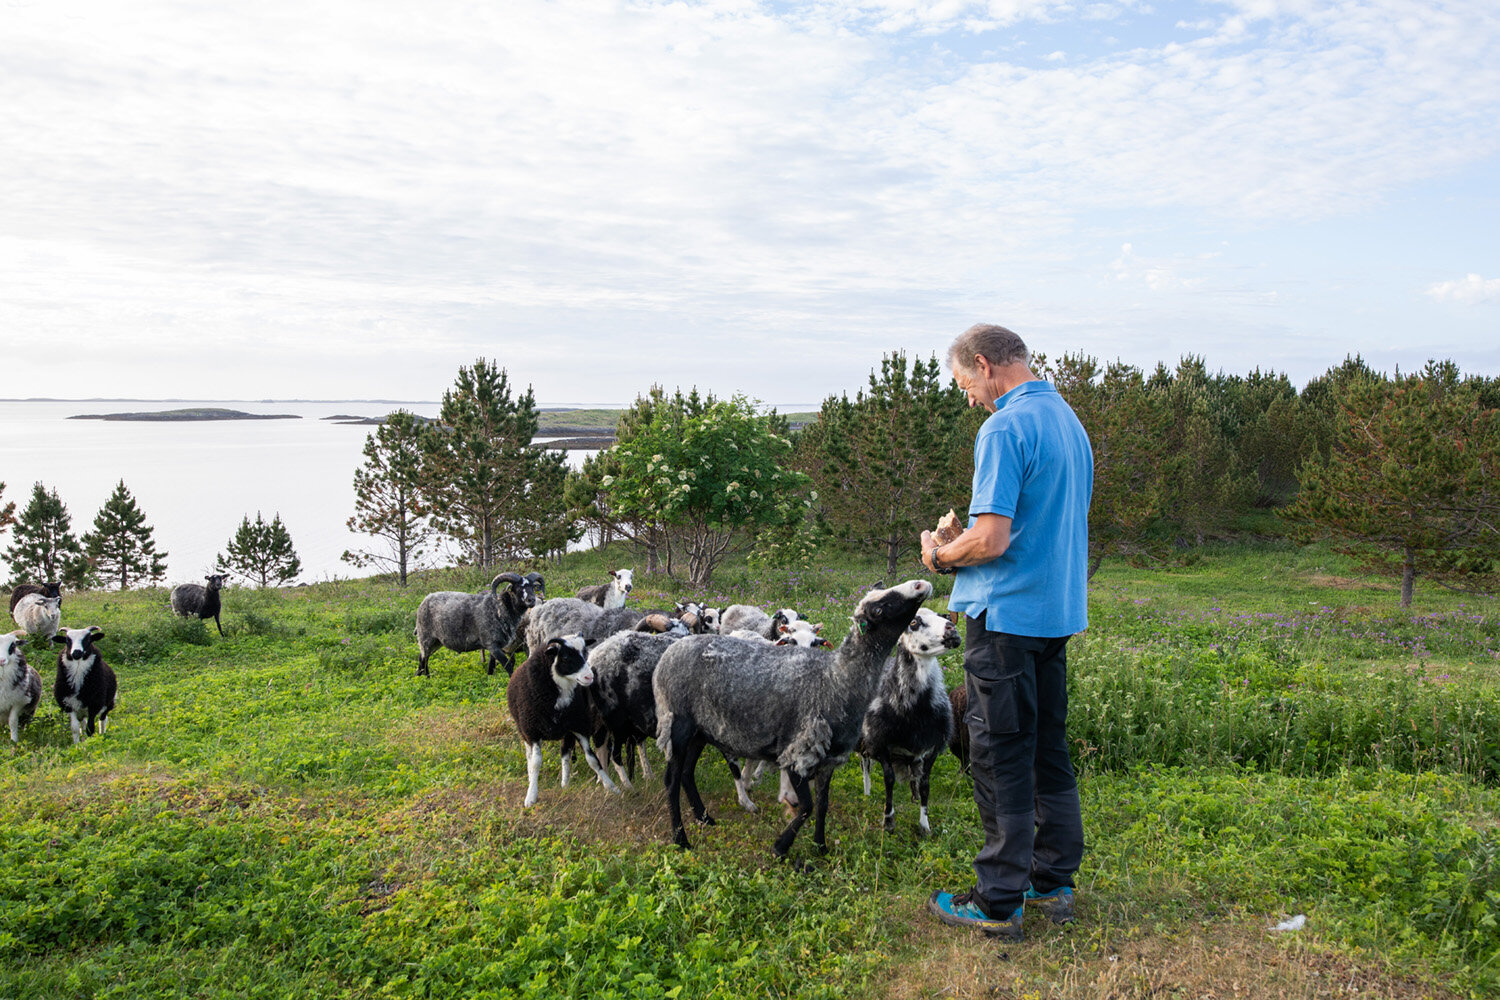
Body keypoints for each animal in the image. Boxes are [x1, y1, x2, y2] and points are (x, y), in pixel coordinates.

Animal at [504, 638, 621, 809]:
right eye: (565, 658)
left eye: (585, 652)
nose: (589, 677)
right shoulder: (533, 732)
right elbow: (535, 763)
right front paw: (531, 796)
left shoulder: (578, 726)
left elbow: (592, 759)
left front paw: (611, 786)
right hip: (524, 730)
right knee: (529, 755)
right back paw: (532, 778)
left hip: (567, 732)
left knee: (565, 752)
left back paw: (565, 783)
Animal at [660, 581, 936, 857]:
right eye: (878, 608)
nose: (920, 584)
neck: (834, 679)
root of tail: (672, 649)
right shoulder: (796, 753)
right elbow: (807, 806)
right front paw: (781, 847)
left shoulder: (828, 760)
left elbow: (822, 804)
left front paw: (820, 846)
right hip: (678, 724)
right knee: (672, 782)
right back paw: (680, 838)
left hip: (701, 731)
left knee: (687, 774)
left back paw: (704, 817)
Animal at [858, 611, 960, 839]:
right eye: (913, 622)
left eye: (945, 616)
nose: (952, 629)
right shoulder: (880, 742)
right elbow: (889, 779)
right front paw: (888, 821)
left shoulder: (932, 748)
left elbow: (925, 784)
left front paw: (925, 826)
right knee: (865, 764)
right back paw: (867, 795)